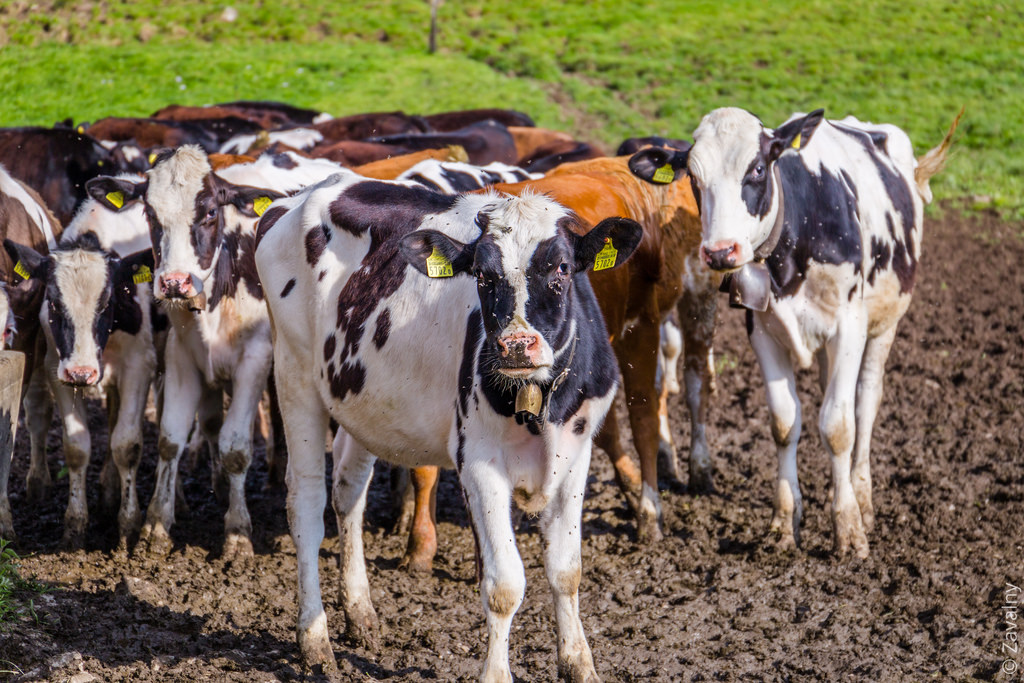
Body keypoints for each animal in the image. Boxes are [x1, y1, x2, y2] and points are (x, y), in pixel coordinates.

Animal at [86, 146, 349, 559]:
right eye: (149, 213)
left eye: (210, 212)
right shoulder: (181, 356)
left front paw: (237, 533)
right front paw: (156, 525)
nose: (173, 282)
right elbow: (170, 439)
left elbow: (236, 447)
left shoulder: (254, 360)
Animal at [255, 175, 642, 681]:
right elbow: (504, 584)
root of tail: (297, 197)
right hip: (295, 374)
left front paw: (579, 664)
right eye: (481, 275)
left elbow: (566, 570)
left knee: (348, 491)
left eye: (561, 268)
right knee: (305, 505)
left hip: (362, 399)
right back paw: (315, 641)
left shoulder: (575, 456)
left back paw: (360, 613)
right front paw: (496, 674)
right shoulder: (478, 462)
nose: (516, 345)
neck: (539, 401)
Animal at [629, 107, 960, 557]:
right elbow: (785, 423)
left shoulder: (849, 329)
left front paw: (849, 528)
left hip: (884, 325)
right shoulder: (763, 333)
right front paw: (785, 522)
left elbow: (838, 427)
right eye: (693, 178)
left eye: (756, 168)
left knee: (865, 403)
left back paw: (862, 495)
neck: (796, 241)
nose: (720, 252)